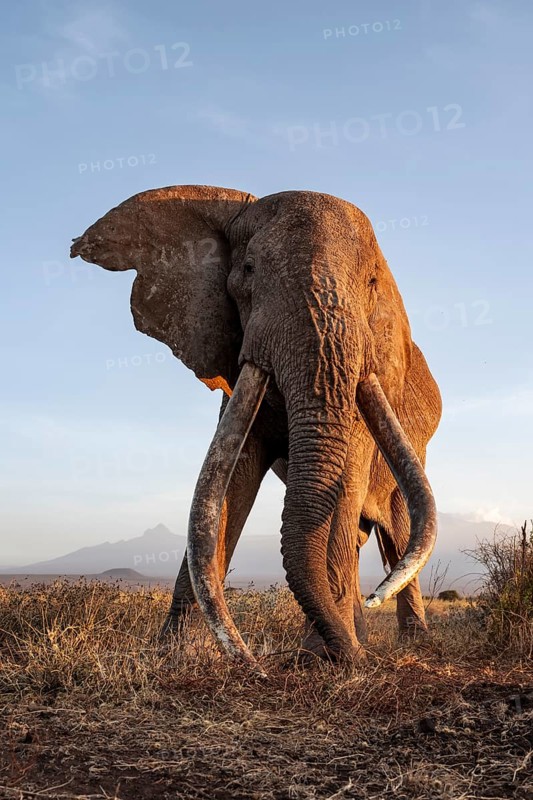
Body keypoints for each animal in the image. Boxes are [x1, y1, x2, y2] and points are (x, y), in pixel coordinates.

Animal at [70, 185, 442, 669]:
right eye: (248, 270)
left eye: (371, 285)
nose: (255, 665)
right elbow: (227, 481)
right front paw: (176, 656)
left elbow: (345, 480)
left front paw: (330, 657)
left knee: (396, 534)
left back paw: (405, 642)